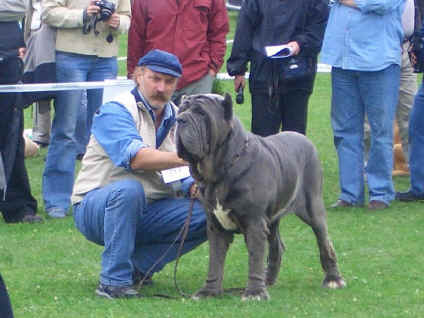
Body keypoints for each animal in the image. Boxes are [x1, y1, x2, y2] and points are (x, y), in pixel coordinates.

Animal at [176, 92, 344, 300]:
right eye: (182, 109)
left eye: (201, 113)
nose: (179, 119)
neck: (222, 169)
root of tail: (305, 139)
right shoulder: (215, 225)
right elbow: (215, 261)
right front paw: (209, 291)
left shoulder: (255, 222)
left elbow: (255, 257)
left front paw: (254, 292)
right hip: (272, 220)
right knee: (277, 247)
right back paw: (268, 280)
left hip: (313, 209)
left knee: (325, 242)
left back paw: (333, 279)